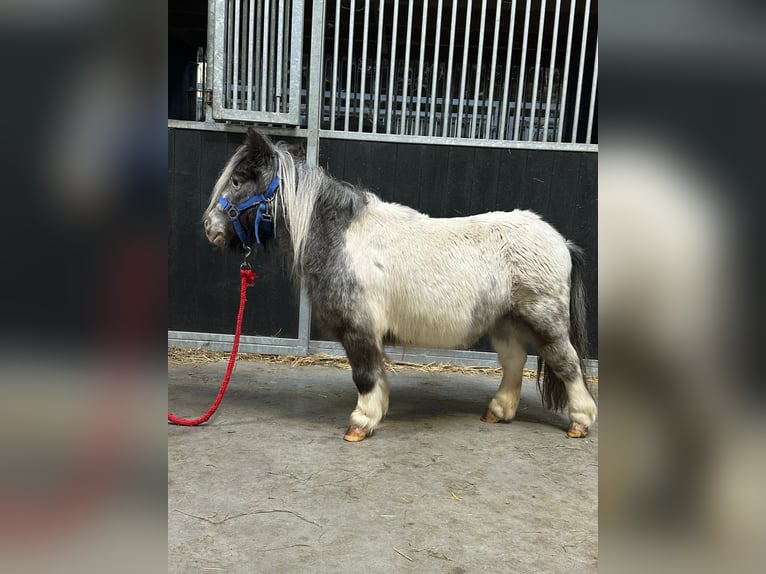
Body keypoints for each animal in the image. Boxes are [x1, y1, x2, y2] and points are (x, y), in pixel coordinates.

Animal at [202, 128, 597, 442]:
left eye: (237, 180)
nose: (210, 227)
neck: (341, 235)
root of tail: (560, 242)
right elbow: (375, 374)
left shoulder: (359, 330)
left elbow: (365, 375)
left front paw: (360, 423)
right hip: (505, 322)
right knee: (515, 360)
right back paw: (497, 411)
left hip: (544, 320)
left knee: (566, 363)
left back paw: (580, 421)